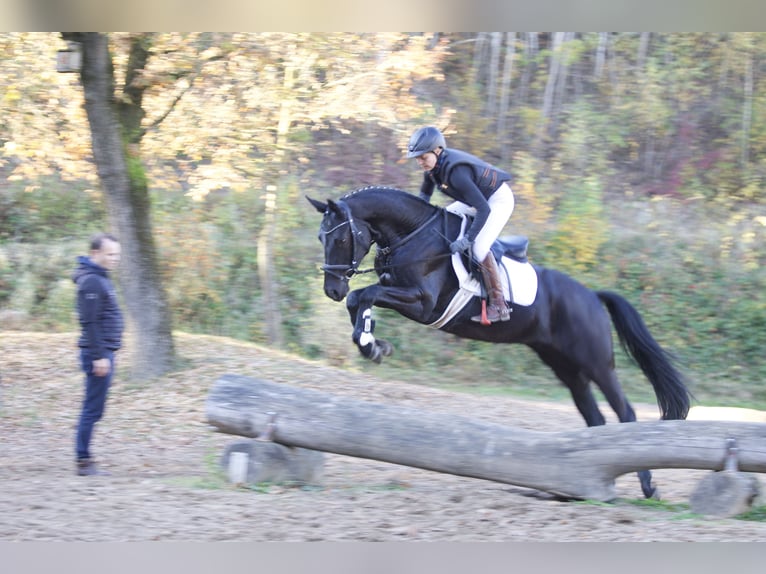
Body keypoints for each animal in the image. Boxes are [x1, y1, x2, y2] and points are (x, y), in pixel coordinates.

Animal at [308, 188, 696, 500]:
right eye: (321, 238)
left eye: (340, 240)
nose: (331, 289)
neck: (412, 237)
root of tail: (592, 296)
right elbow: (359, 300)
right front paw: (371, 342)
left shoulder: (422, 302)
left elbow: (365, 294)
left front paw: (371, 343)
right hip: (567, 368)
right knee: (595, 417)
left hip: (598, 364)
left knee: (625, 413)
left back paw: (648, 487)